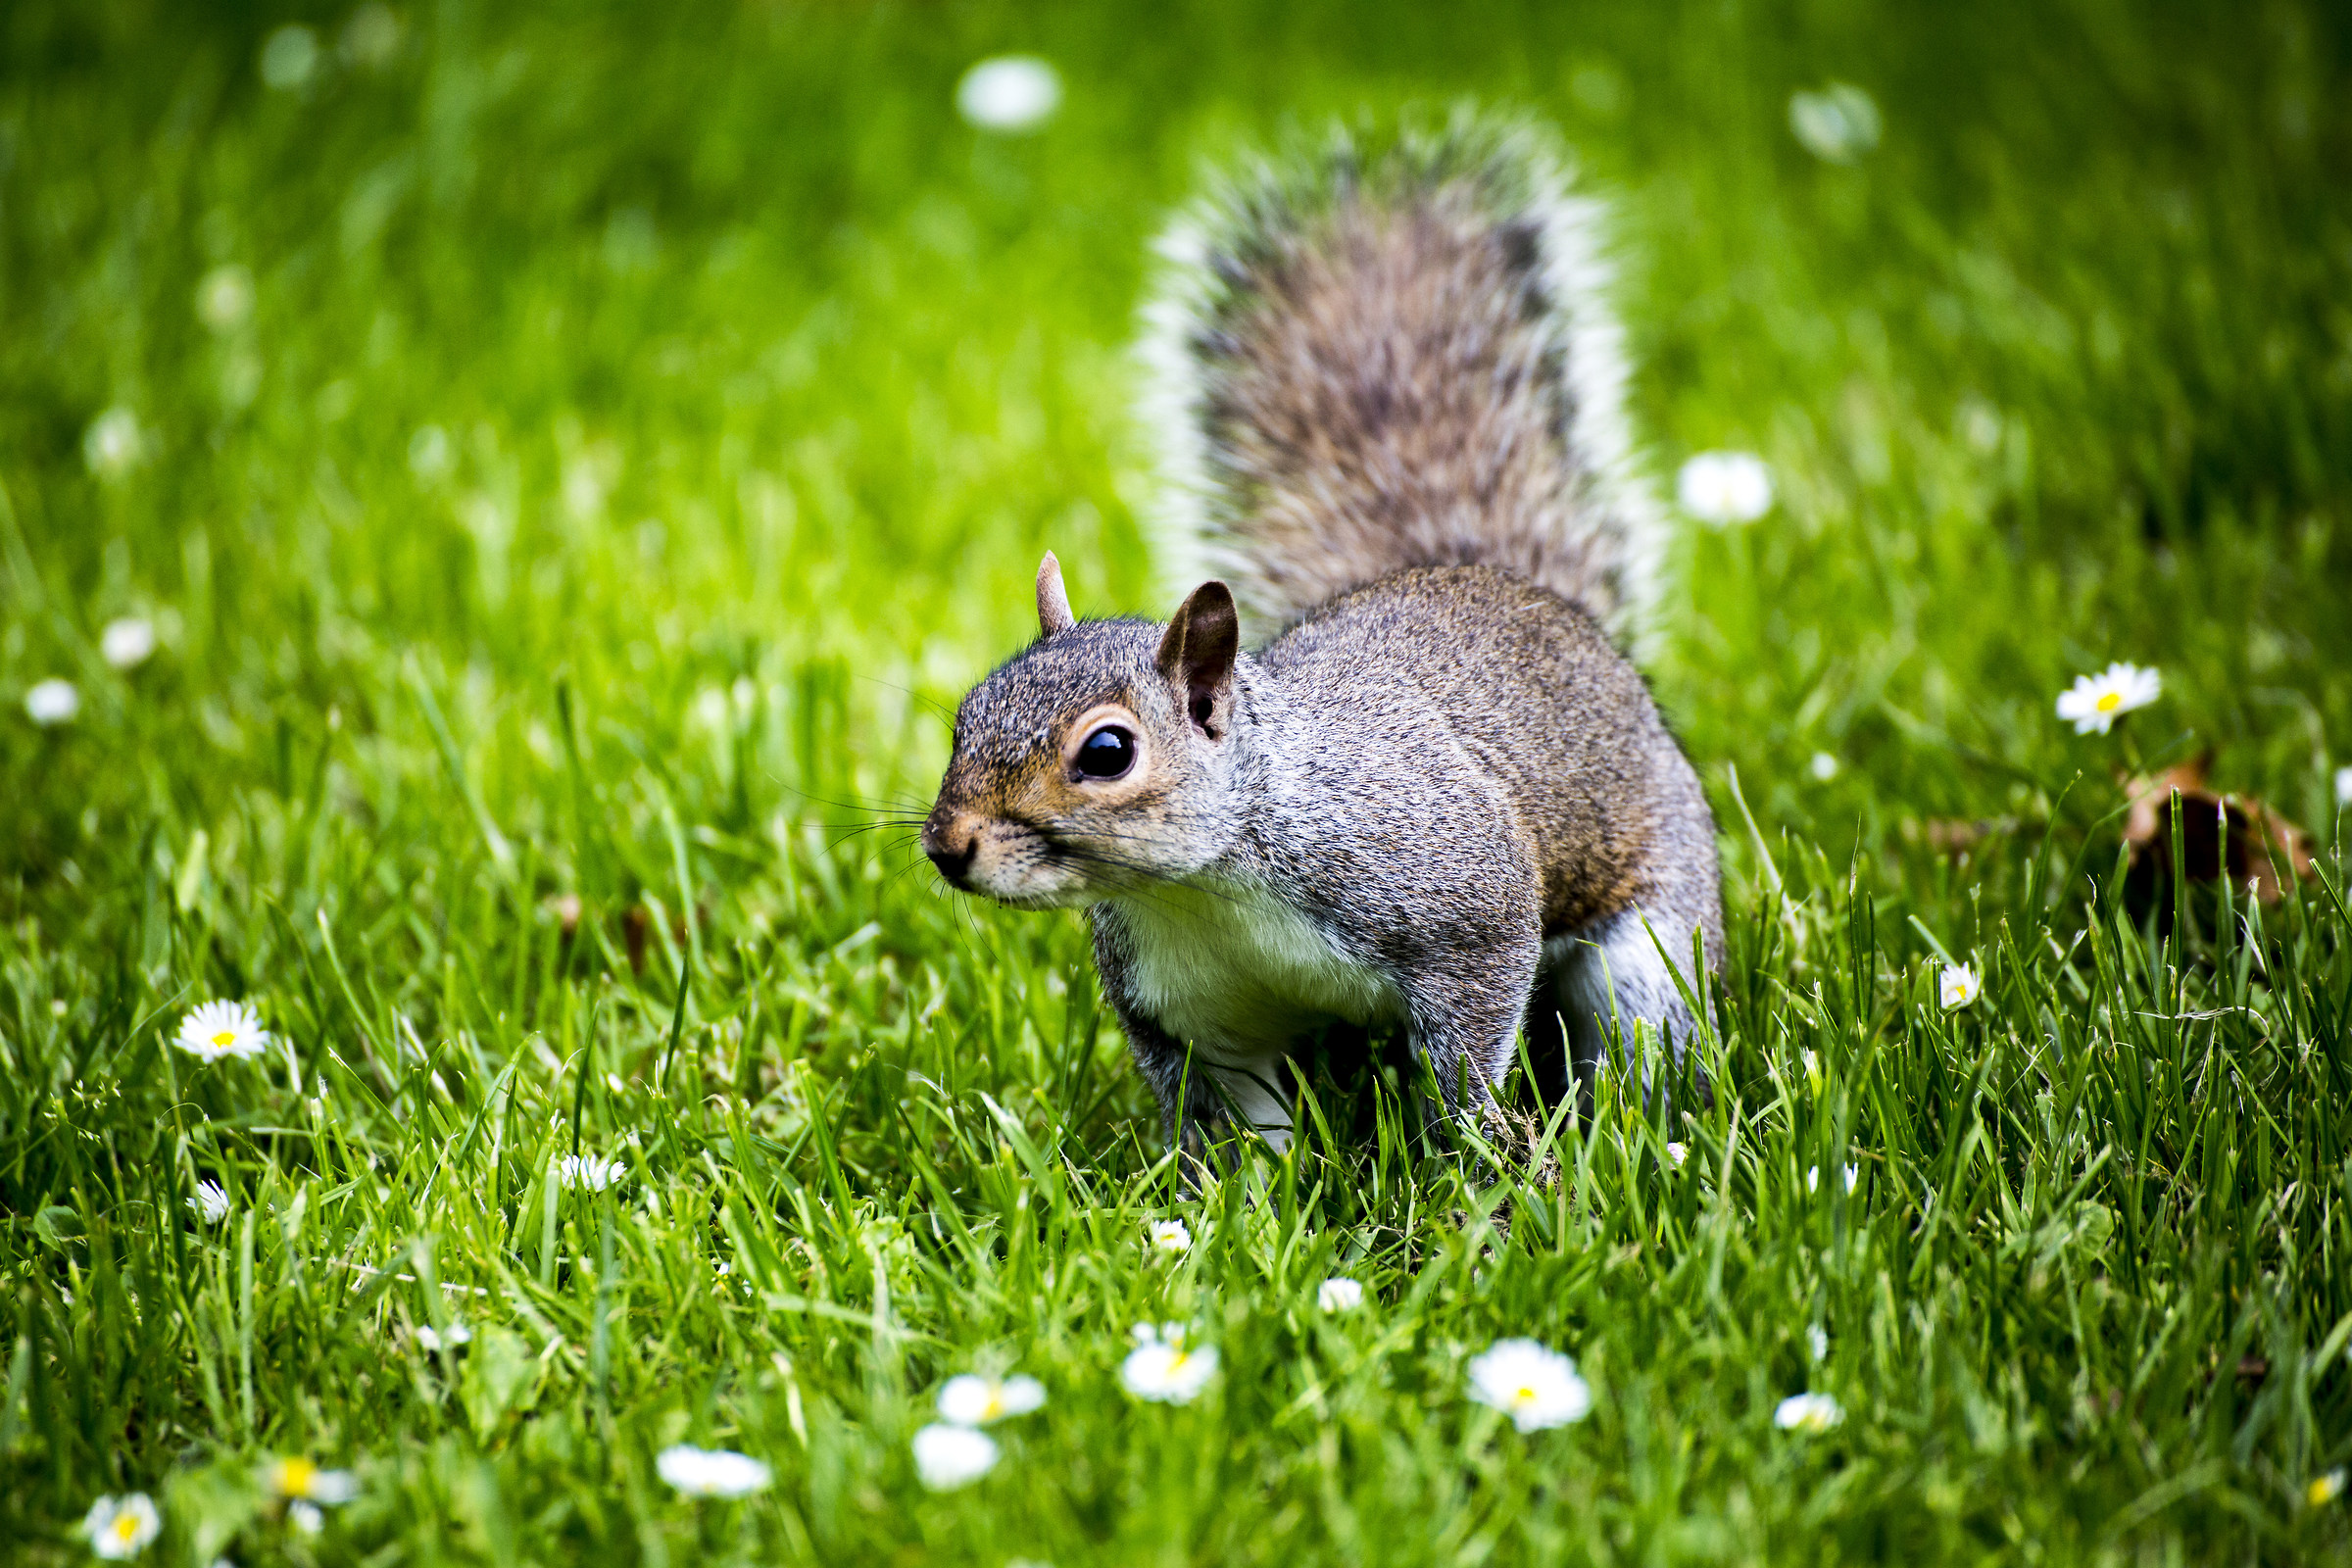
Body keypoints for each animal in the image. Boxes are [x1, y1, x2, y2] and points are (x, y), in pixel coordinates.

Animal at [923, 112, 1724, 1157]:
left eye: (1106, 753)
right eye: (963, 718)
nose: (947, 847)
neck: (1209, 884)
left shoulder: (1463, 905)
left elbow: (1469, 1046)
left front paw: (1475, 1155)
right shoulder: (1187, 1011)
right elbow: (1231, 1131)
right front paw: (1229, 1194)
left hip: (1654, 937)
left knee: (1644, 1029)